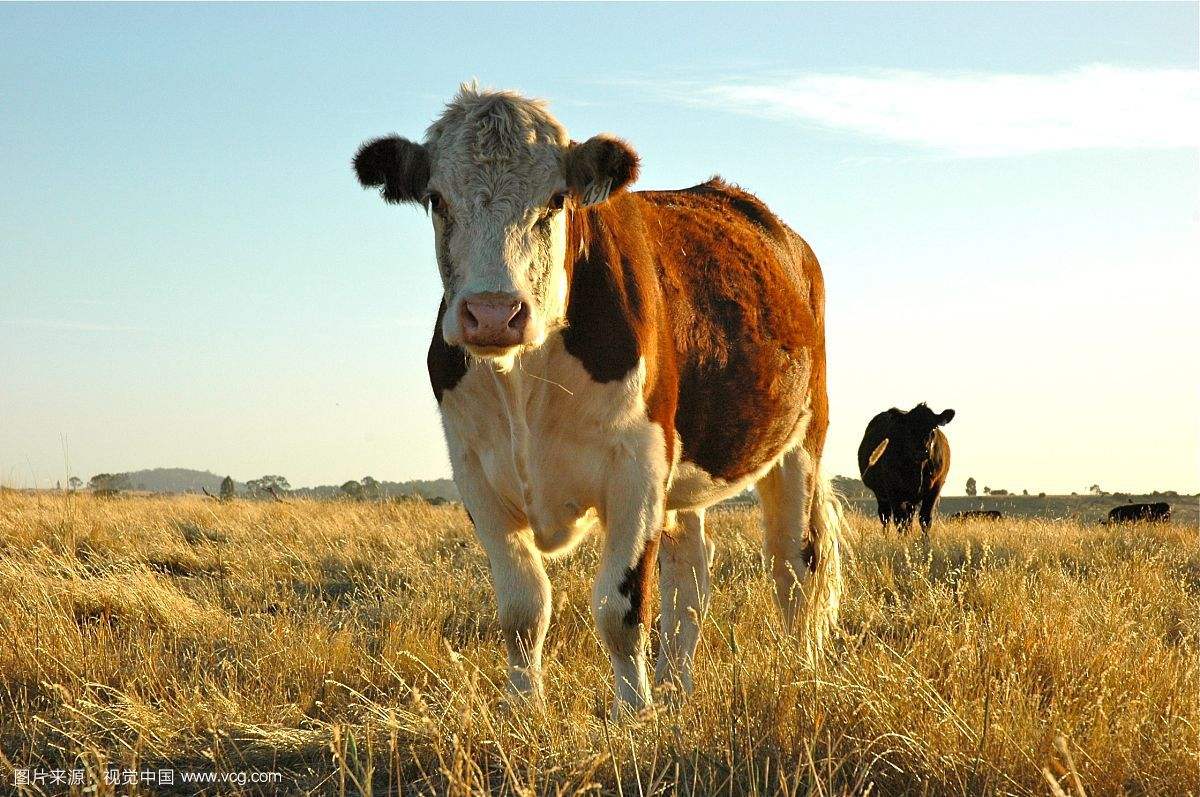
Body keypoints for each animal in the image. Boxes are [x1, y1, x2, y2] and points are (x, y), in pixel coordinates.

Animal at [854, 405, 955, 535]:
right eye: (909, 429)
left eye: (933, 428)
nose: (922, 452)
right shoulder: (894, 491)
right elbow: (900, 521)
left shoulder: (935, 488)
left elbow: (925, 519)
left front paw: (925, 541)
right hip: (881, 494)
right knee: (886, 517)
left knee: (908, 519)